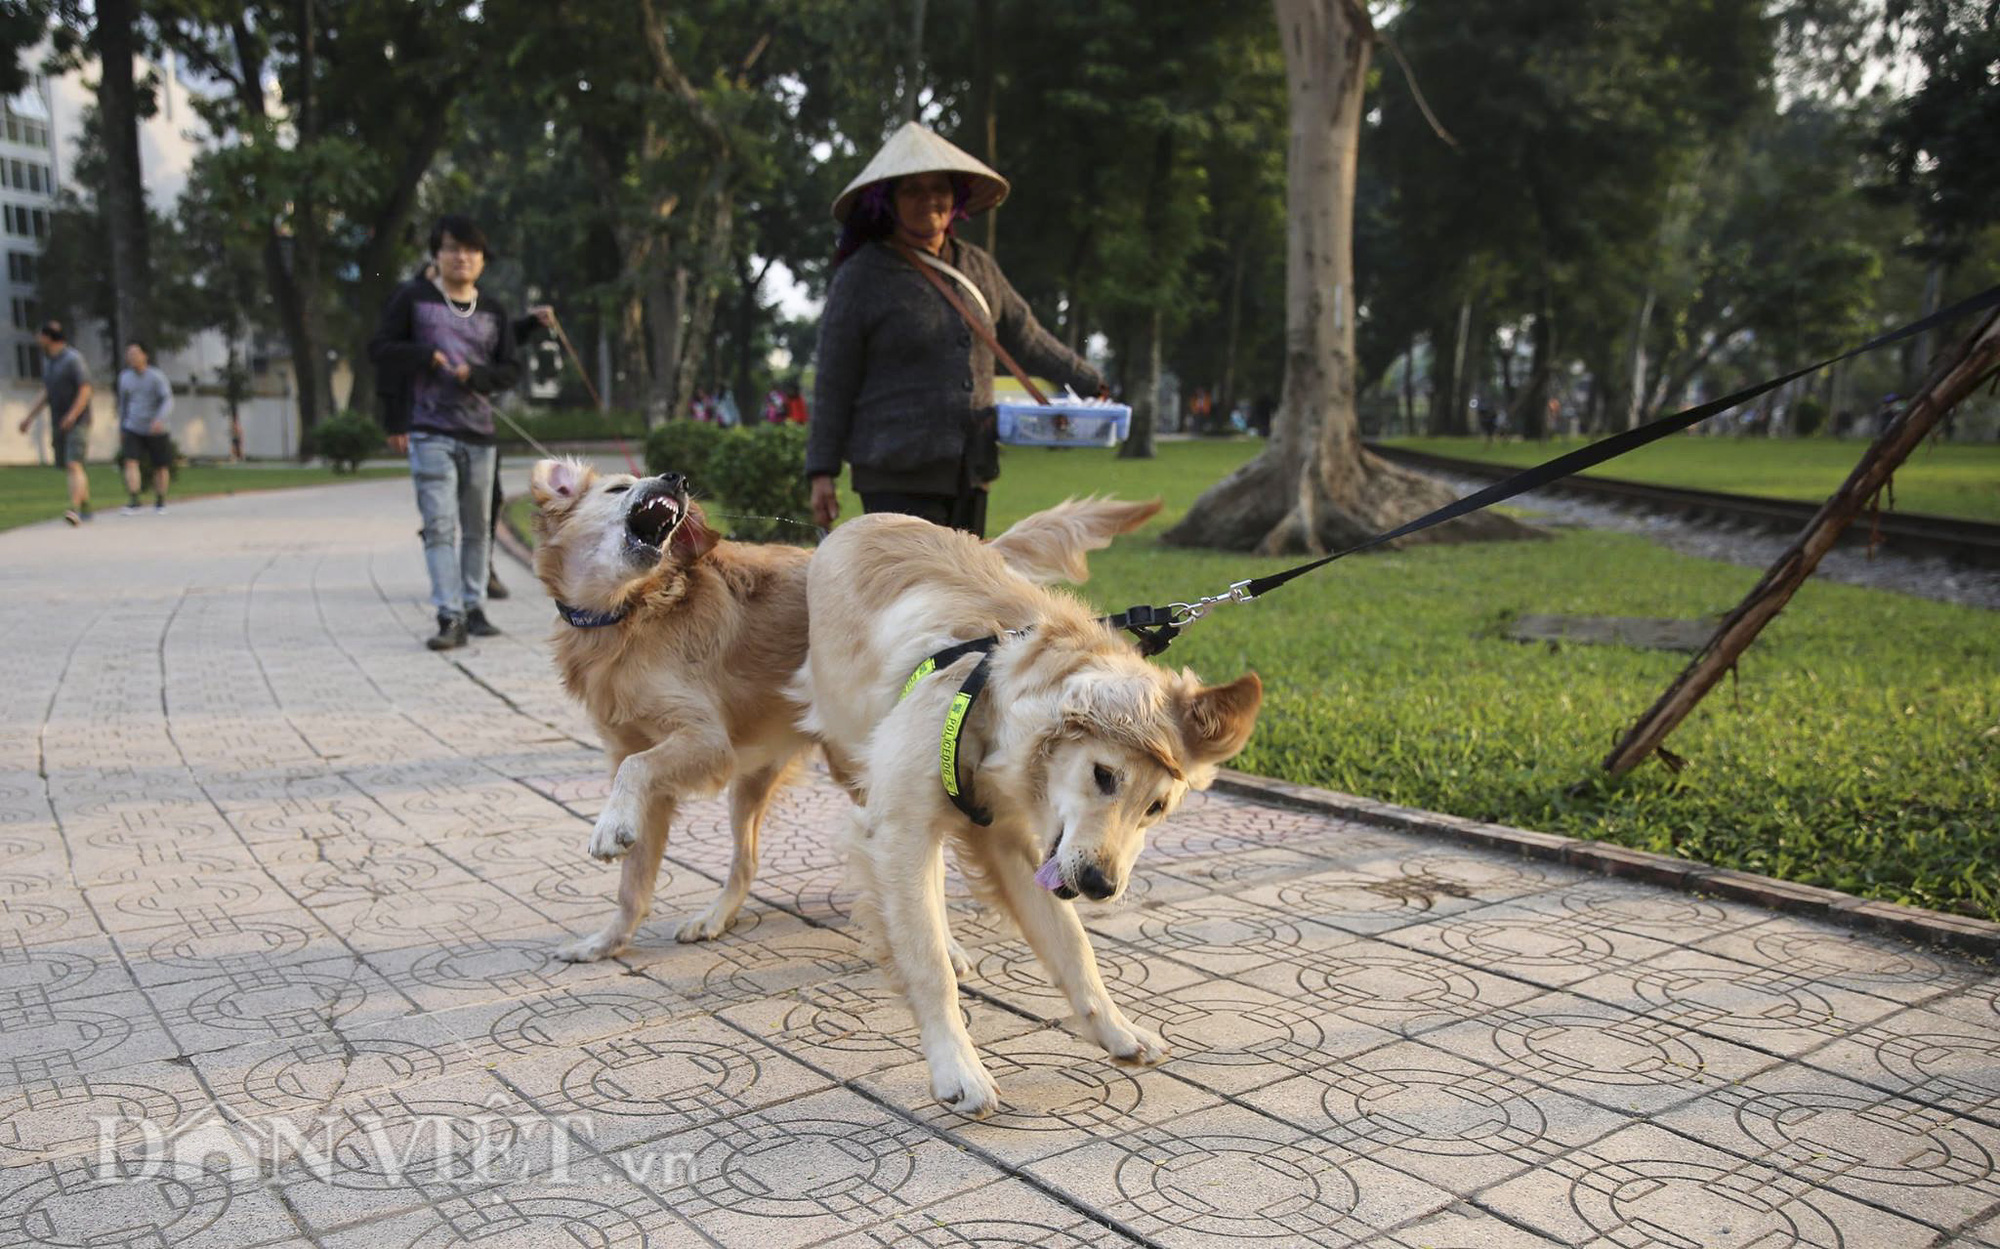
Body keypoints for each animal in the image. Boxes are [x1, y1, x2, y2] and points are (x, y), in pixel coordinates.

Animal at [524, 458, 1168, 964]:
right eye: (617, 487)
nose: (676, 479)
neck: (628, 613)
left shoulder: (704, 742)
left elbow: (638, 777)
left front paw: (608, 829)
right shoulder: (636, 754)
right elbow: (633, 880)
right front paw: (608, 941)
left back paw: (945, 944)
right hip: (758, 781)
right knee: (747, 861)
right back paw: (716, 916)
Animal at [792, 512, 1248, 1120]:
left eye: (1156, 807)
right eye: (1104, 775)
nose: (1101, 886)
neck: (993, 698)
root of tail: (863, 519)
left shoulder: (1010, 843)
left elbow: (1073, 946)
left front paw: (1118, 1031)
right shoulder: (902, 826)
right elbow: (927, 962)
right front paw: (958, 1069)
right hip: (853, 752)